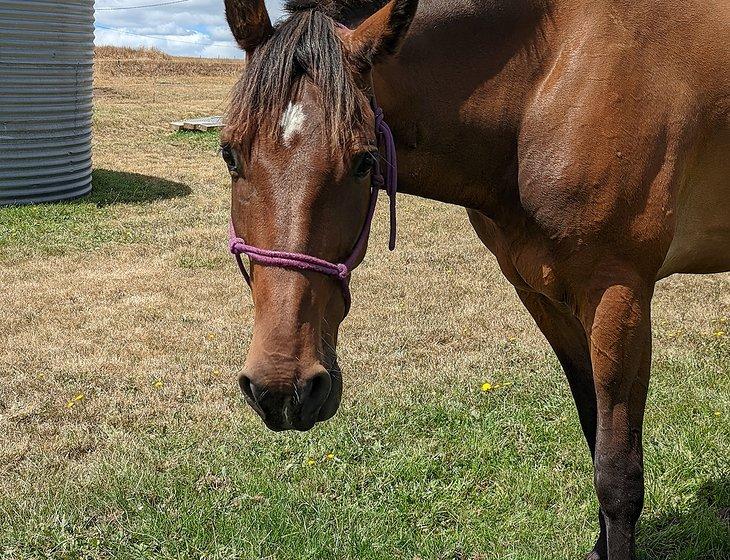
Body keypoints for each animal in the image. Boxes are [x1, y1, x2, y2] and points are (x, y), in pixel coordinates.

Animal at [219, 1, 728, 556]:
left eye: (364, 161)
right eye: (229, 153)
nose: (282, 386)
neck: (551, 81)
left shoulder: (618, 295)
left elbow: (617, 475)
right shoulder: (544, 296)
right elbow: (593, 428)